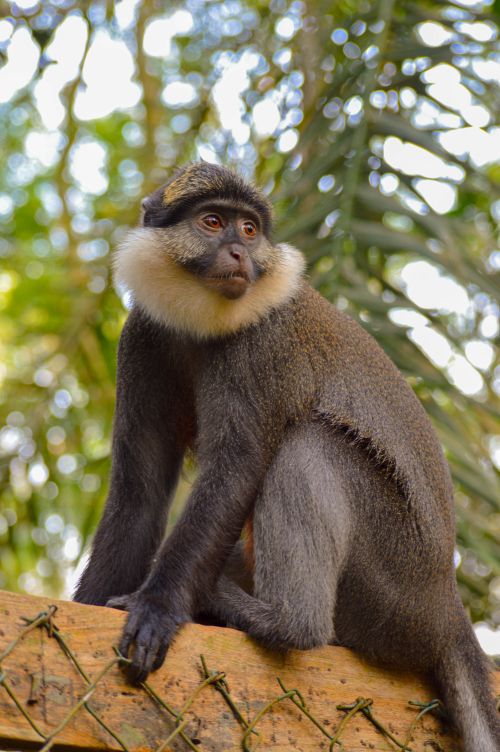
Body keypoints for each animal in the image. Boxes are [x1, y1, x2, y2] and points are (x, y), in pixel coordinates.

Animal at [73, 162, 500, 752]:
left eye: (250, 230)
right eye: (213, 222)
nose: (239, 254)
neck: (201, 322)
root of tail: (445, 607)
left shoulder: (258, 347)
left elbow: (237, 467)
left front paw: (158, 608)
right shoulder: (141, 340)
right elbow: (140, 488)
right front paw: (88, 607)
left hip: (390, 582)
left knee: (311, 445)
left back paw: (279, 620)